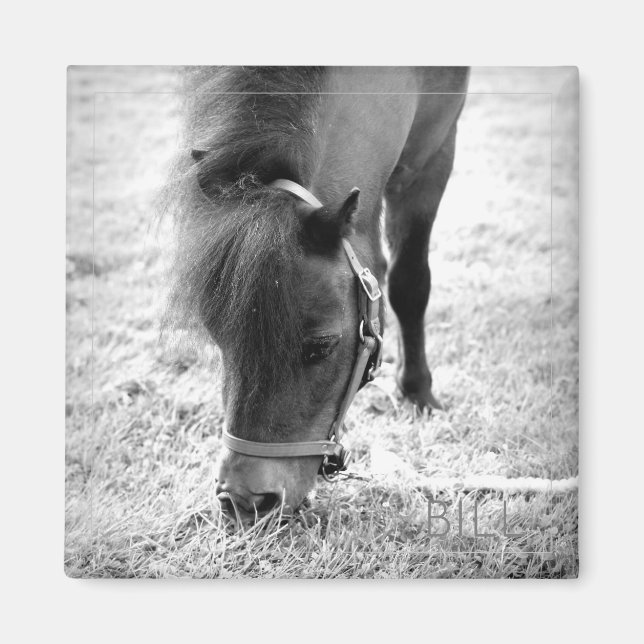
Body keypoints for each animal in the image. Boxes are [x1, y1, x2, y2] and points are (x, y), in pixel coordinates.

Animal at [168, 66, 469, 519]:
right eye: (218, 341)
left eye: (321, 346)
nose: (243, 501)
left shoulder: (433, 155)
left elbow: (409, 281)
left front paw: (418, 391)